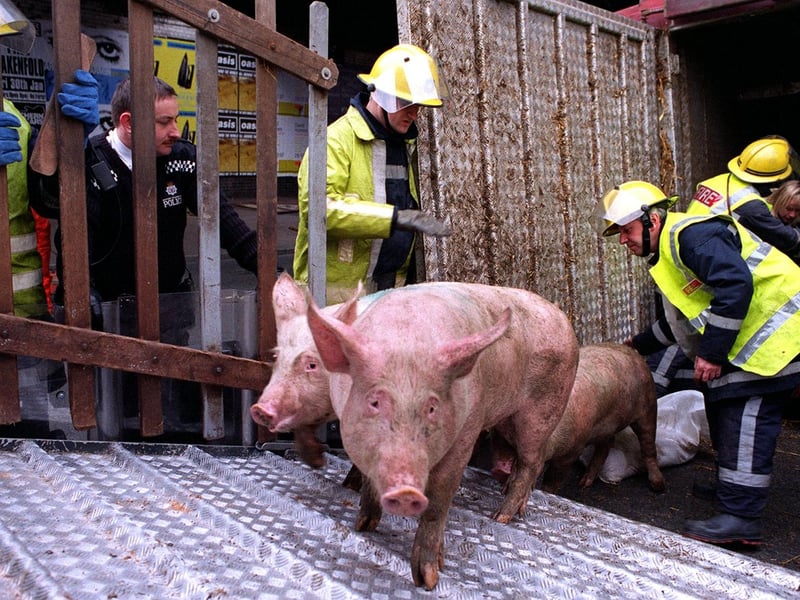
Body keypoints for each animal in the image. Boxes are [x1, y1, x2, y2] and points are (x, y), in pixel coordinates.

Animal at [307, 281, 579, 590]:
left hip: (542, 410)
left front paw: (429, 578)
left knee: (531, 461)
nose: (406, 491)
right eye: (375, 402)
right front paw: (363, 526)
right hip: (508, 419)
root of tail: (564, 320)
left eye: (432, 407)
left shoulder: (467, 432)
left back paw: (501, 517)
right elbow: (367, 478)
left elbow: (439, 500)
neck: (407, 337)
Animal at [539, 342, 666, 494]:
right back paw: (584, 483)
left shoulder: (572, 449)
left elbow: (554, 476)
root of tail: (633, 352)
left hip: (649, 405)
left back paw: (658, 486)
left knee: (648, 444)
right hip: (607, 427)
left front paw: (547, 491)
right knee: (607, 445)